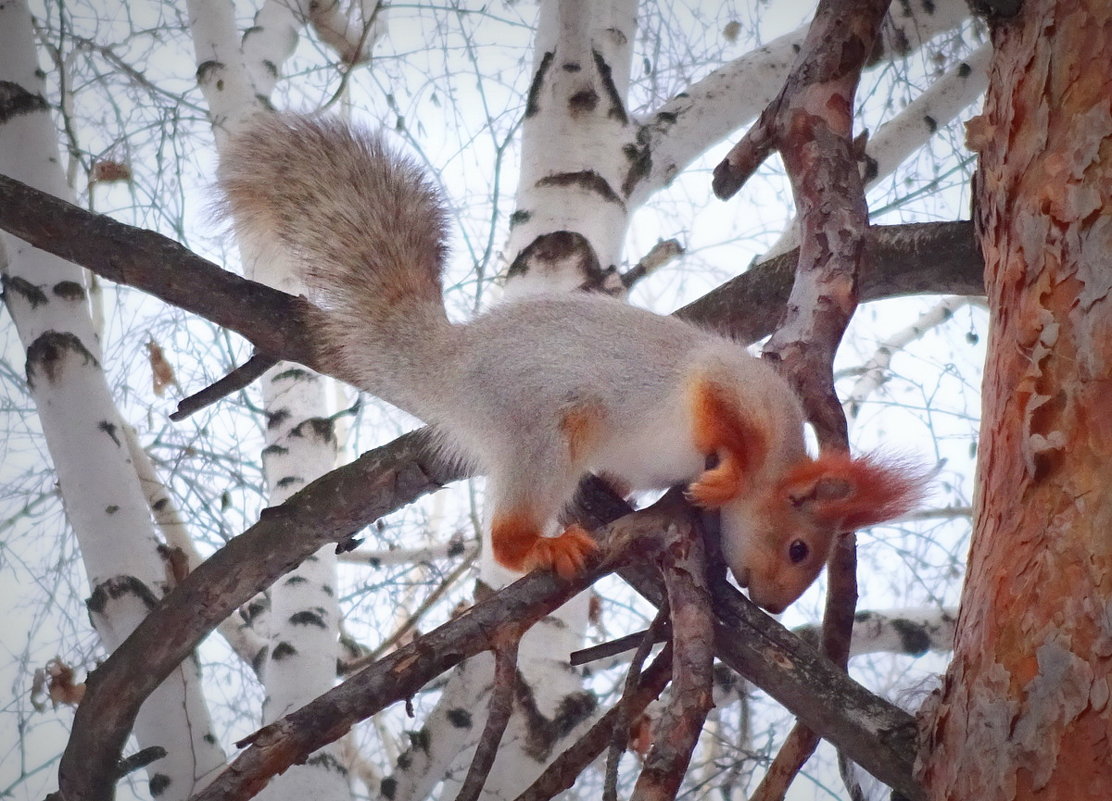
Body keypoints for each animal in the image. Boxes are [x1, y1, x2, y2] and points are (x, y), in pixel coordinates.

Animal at [214, 114, 920, 614]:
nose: (771, 606)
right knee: (506, 536)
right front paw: (725, 480)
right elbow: (722, 418)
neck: (782, 453)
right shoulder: (738, 386)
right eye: (800, 548)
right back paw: (542, 544)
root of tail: (449, 362)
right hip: (543, 426)